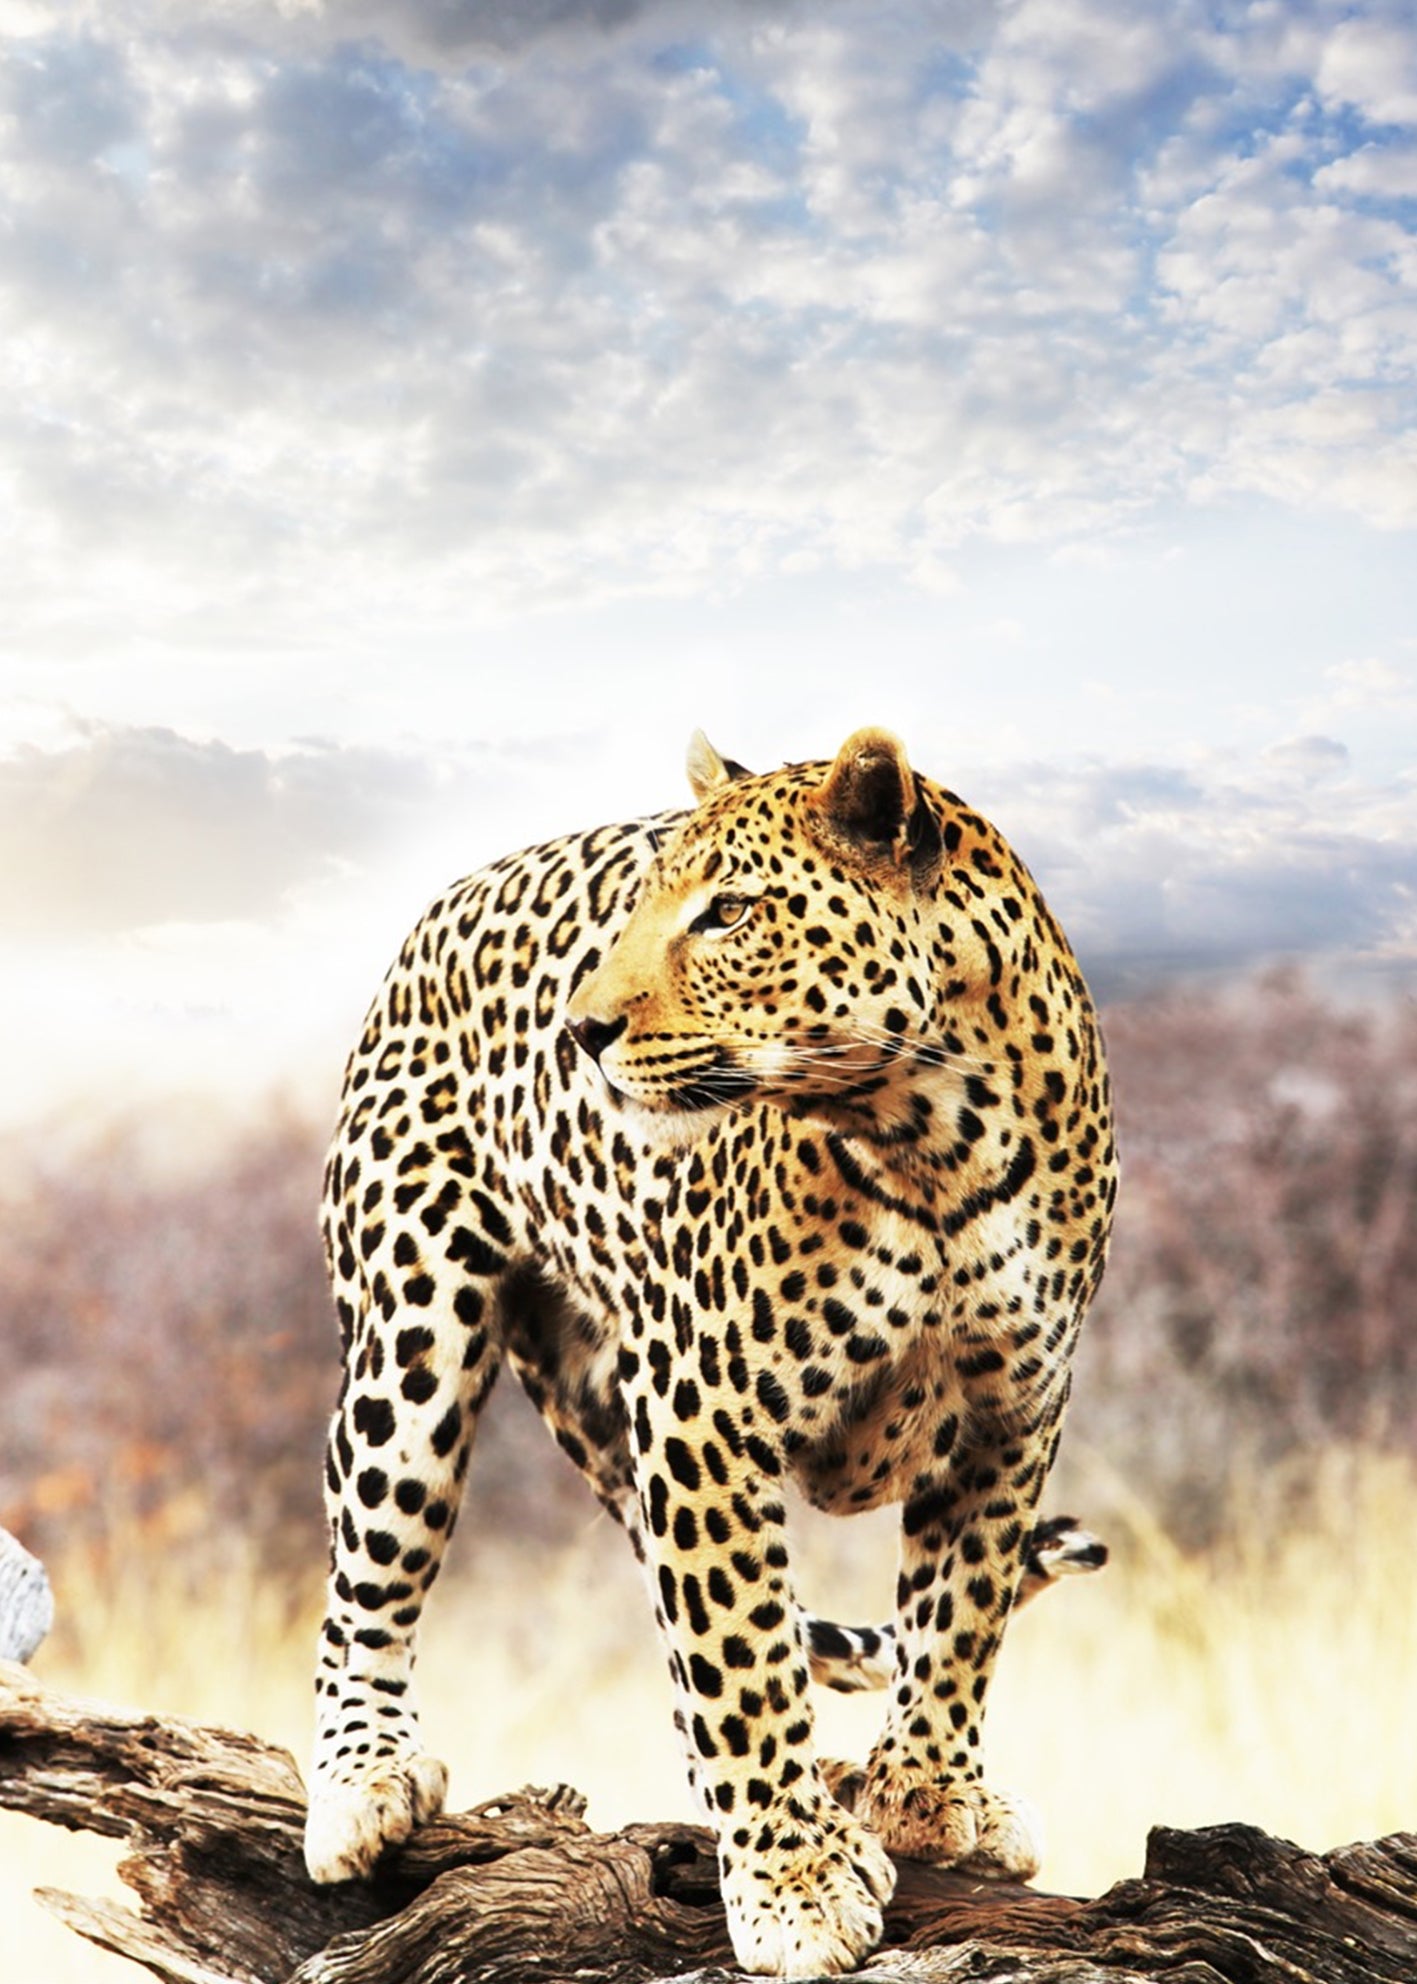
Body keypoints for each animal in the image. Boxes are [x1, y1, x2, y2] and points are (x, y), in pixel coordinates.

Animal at [302, 726, 1118, 1977]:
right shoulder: (705, 1410)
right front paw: (797, 1885)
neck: (934, 1139)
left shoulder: (1012, 1410)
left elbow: (958, 1612)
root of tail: (447, 901)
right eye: (644, 907)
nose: (581, 1031)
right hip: (411, 1336)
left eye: (728, 913)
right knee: (369, 1572)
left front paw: (927, 1788)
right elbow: (741, 1653)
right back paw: (361, 1776)